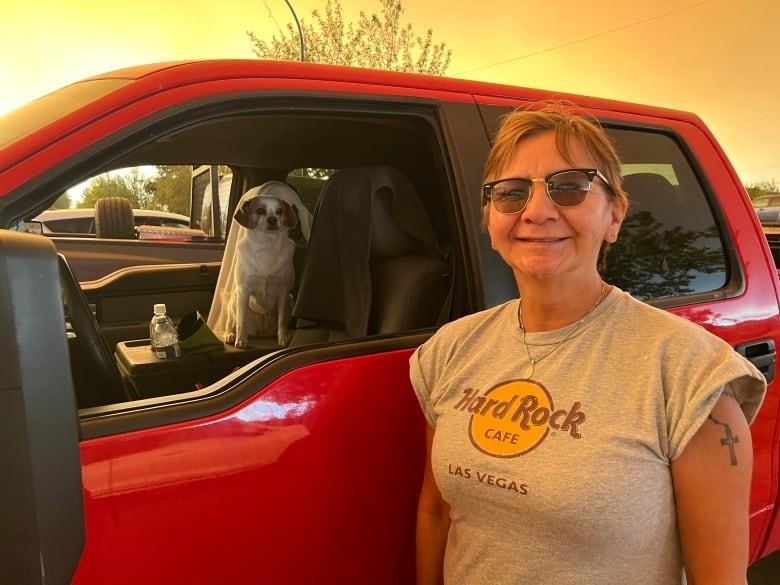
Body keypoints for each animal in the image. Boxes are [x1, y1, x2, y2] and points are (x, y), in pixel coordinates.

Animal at [225, 192, 302, 346]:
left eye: (279, 211)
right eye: (260, 211)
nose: (272, 219)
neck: (267, 245)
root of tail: (260, 333)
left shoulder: (283, 293)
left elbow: (282, 321)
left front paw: (283, 338)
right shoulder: (244, 291)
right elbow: (241, 321)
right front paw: (241, 340)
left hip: (290, 300)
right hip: (234, 300)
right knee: (232, 322)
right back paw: (231, 334)